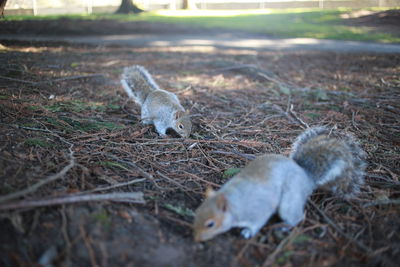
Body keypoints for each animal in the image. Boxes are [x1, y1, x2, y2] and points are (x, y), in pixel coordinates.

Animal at [193, 127, 366, 243]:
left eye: (210, 224)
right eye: (197, 213)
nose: (197, 238)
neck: (234, 201)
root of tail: (306, 177)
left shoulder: (258, 210)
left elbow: (257, 222)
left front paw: (248, 232)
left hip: (289, 200)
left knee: (298, 217)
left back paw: (284, 226)